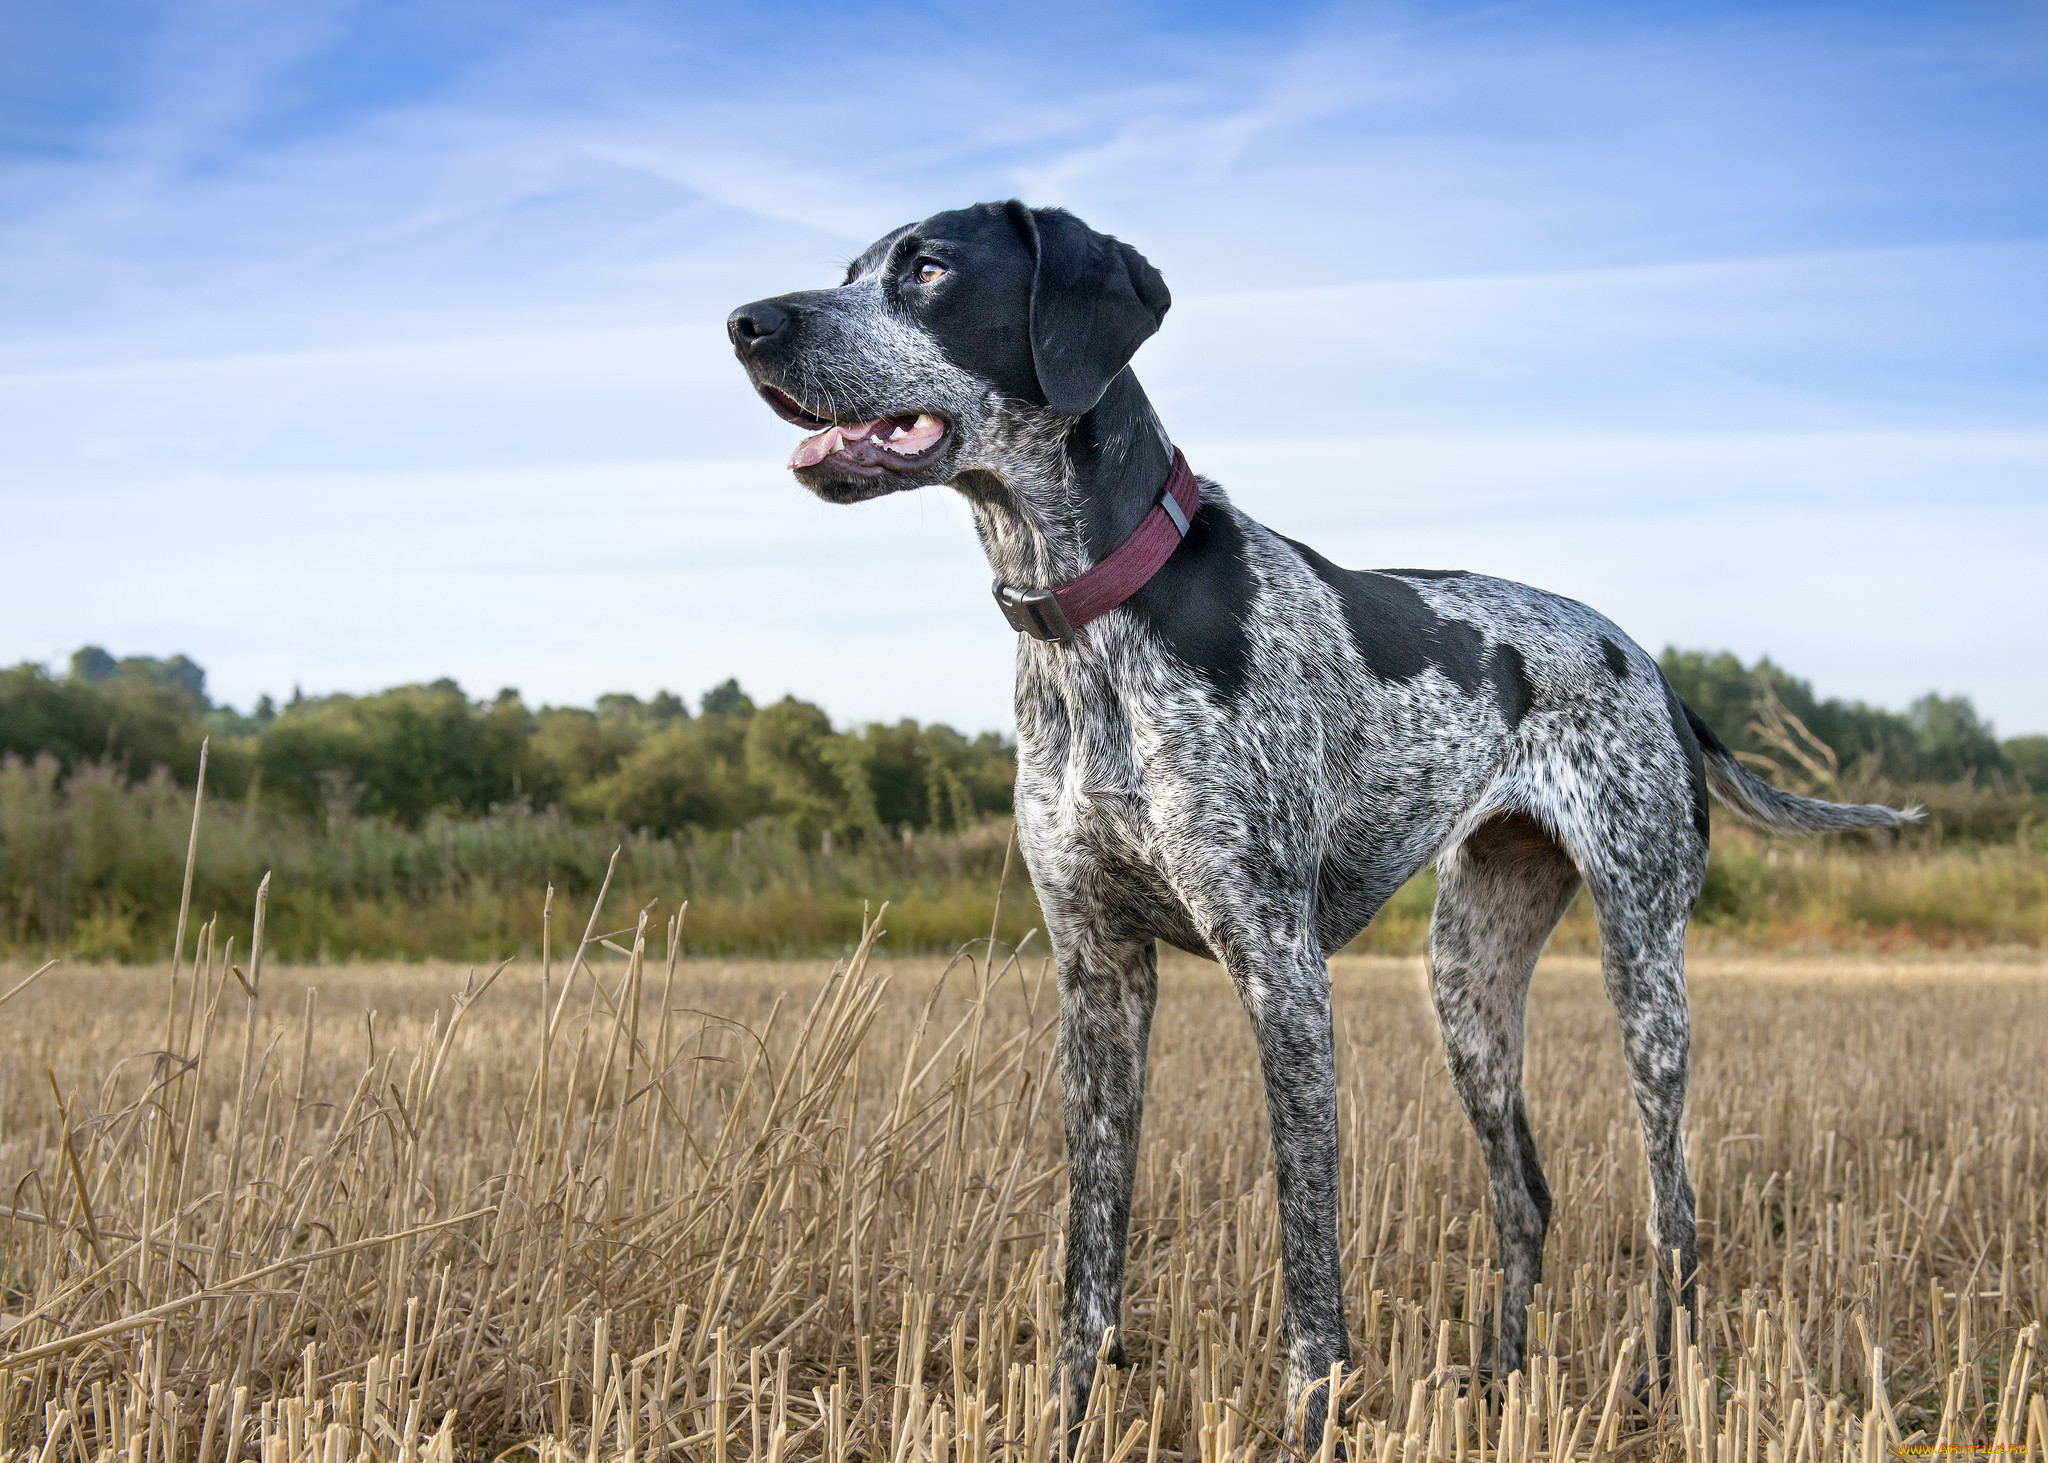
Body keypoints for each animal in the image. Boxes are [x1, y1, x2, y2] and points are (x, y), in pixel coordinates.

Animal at [729, 201, 1908, 1450]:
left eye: (927, 268)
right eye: (854, 268)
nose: (745, 322)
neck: (1089, 623)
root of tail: (1654, 668)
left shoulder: (1280, 970)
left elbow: (1306, 1259)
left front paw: (1307, 1421)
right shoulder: (1097, 973)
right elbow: (1087, 1261)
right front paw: (1066, 1421)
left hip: (1643, 972)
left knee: (1671, 1208)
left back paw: (1658, 1392)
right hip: (1465, 981)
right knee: (1525, 1195)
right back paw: (1502, 1383)